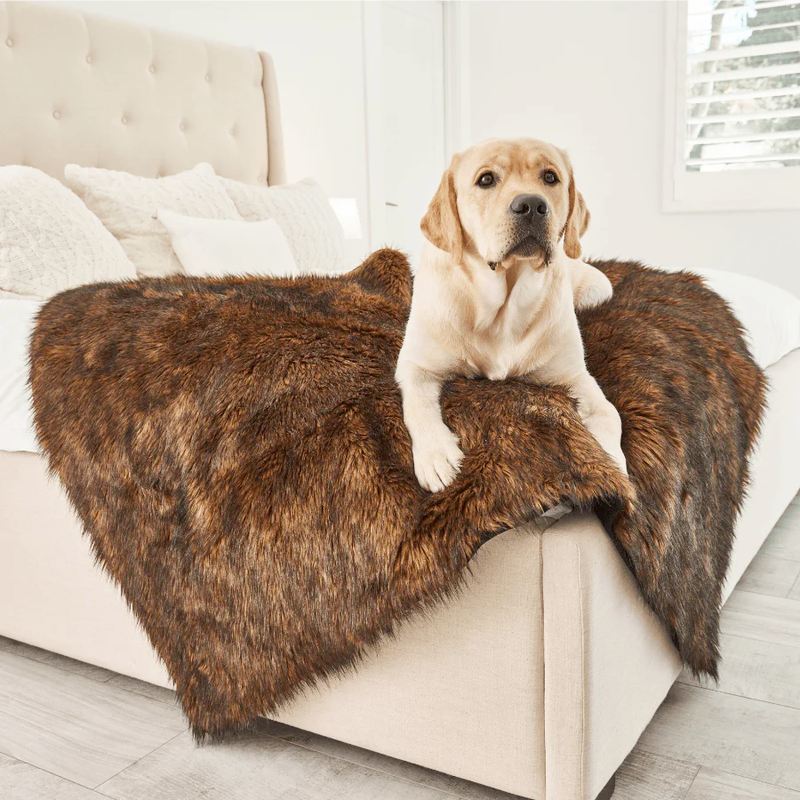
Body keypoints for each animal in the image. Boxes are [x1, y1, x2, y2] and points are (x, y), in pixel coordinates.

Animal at [396, 138, 628, 494]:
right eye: (486, 179)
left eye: (550, 177)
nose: (531, 205)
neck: (502, 310)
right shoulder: (414, 364)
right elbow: (418, 406)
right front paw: (437, 455)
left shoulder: (575, 376)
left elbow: (609, 412)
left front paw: (616, 461)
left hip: (598, 287)